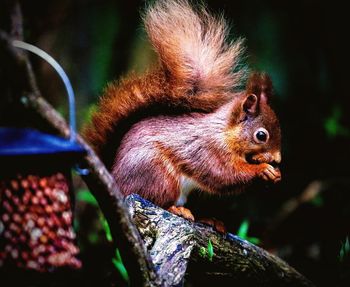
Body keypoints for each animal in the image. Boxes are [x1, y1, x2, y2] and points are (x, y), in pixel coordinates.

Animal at [84, 0, 282, 223]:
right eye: (261, 135)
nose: (277, 160)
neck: (223, 132)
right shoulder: (208, 151)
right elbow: (225, 175)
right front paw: (263, 169)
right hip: (158, 175)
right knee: (156, 198)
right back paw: (177, 209)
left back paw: (211, 220)